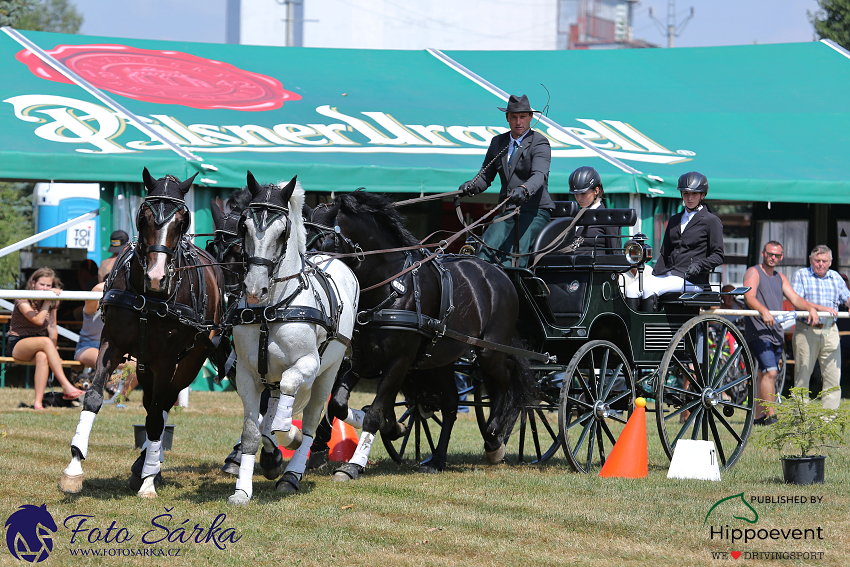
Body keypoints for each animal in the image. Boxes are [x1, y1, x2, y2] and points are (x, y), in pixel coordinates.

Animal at [59, 168, 225, 496]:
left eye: (182, 220)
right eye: (144, 216)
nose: (156, 276)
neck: (150, 297)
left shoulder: (167, 360)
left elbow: (157, 418)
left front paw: (149, 480)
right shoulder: (111, 343)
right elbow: (94, 397)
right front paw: (74, 466)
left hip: (190, 360)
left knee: (162, 406)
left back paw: (149, 467)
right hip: (145, 364)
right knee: (151, 405)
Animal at [227, 174, 356, 506]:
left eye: (282, 231)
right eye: (244, 225)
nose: (254, 289)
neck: (272, 308)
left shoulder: (308, 365)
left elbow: (285, 422)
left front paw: (290, 438)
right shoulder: (246, 374)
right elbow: (253, 431)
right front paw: (242, 491)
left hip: (327, 373)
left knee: (309, 422)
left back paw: (291, 475)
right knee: (271, 410)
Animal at [304, 192, 532, 480]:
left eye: (322, 240)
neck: (391, 286)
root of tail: (499, 274)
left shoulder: (399, 362)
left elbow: (375, 412)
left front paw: (353, 465)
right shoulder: (362, 359)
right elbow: (338, 404)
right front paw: (393, 428)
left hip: (489, 351)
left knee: (507, 378)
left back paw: (493, 436)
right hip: (441, 359)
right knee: (451, 404)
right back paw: (438, 459)